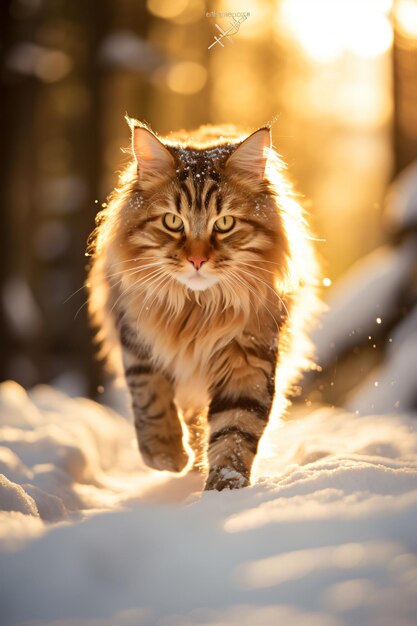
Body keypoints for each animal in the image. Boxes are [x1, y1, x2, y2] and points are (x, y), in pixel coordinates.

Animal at [88, 117, 318, 488]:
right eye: (172, 221)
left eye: (224, 224)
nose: (197, 260)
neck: (197, 309)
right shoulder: (136, 338)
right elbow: (150, 397)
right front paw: (165, 454)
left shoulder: (246, 359)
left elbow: (235, 430)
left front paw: (225, 486)